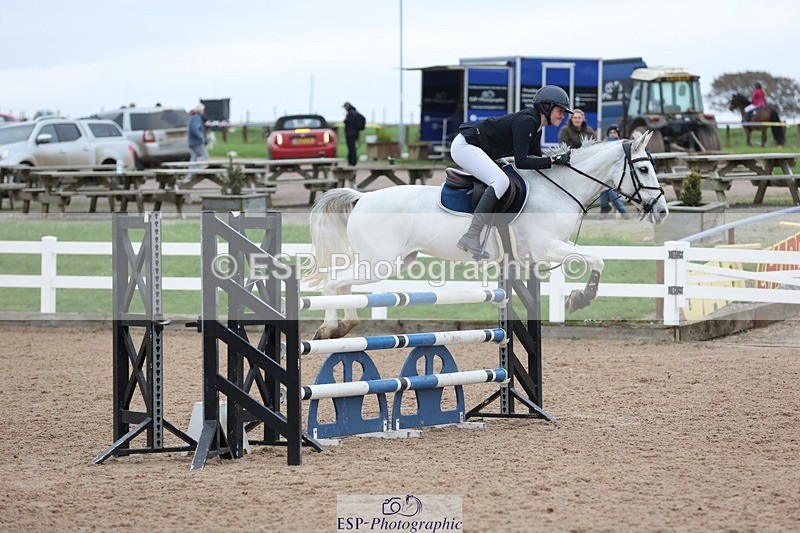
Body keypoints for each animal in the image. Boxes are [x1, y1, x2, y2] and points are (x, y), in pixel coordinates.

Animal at [305, 131, 668, 340]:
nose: (663, 211)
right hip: (381, 263)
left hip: (395, 261)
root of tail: (361, 197)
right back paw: (330, 328)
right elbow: (597, 259)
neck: (558, 188)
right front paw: (581, 298)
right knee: (334, 281)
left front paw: (578, 296)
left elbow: (595, 259)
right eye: (644, 168)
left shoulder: (544, 251)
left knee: (342, 282)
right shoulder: (546, 247)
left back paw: (344, 326)